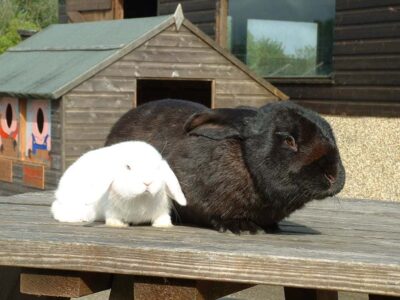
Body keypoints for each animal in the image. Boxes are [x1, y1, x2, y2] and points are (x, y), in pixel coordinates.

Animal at [50, 141, 187, 227]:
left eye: (157, 167)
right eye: (128, 167)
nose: (147, 182)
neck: (140, 199)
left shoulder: (162, 210)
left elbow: (162, 217)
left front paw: (163, 224)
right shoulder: (111, 210)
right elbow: (113, 217)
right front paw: (118, 224)